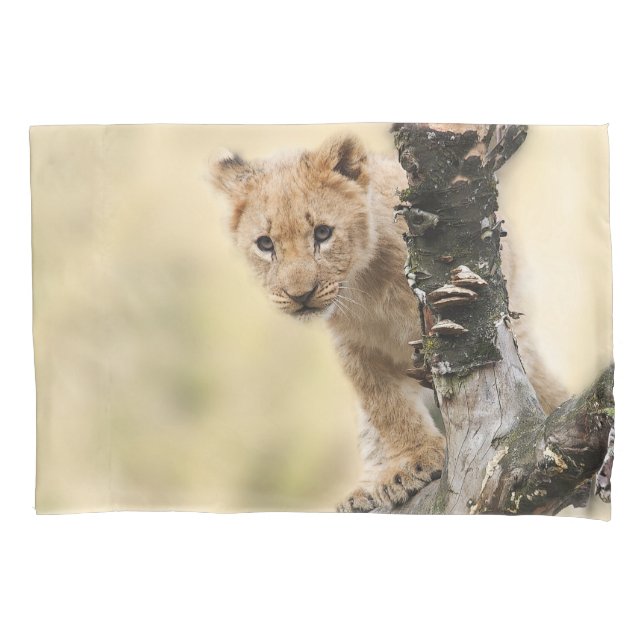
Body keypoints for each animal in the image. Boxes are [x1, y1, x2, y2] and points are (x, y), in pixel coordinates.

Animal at [211, 134, 566, 512]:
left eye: (322, 233)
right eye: (265, 244)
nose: (300, 295)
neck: (363, 286)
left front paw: (417, 463)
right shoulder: (354, 347)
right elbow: (384, 406)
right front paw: (411, 463)